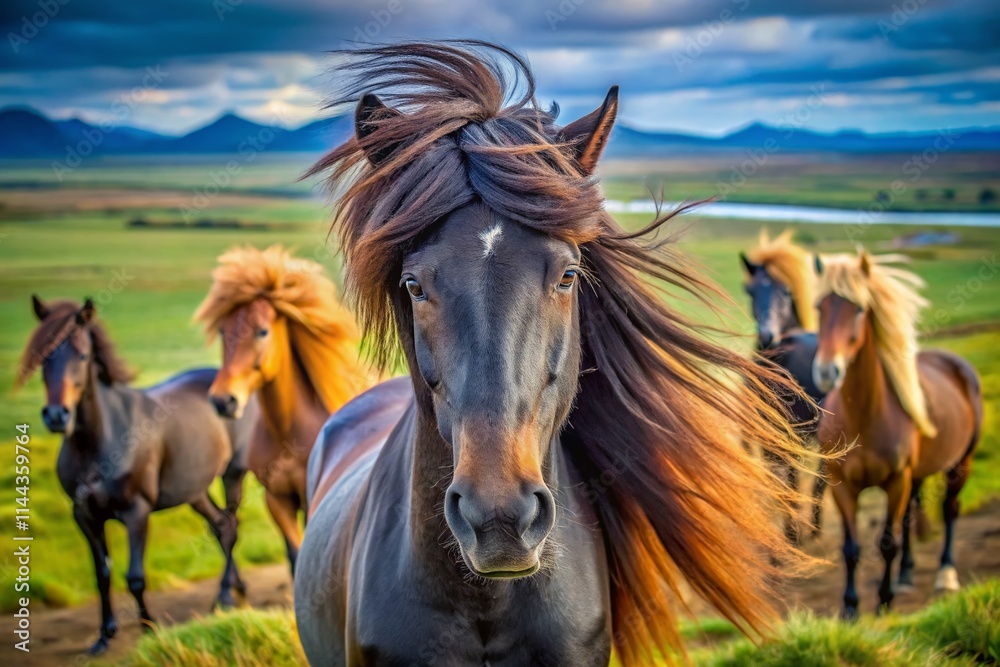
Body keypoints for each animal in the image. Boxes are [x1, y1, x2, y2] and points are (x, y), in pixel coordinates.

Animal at [17, 296, 257, 655]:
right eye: (45, 356)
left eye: (83, 355)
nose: (57, 415)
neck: (99, 441)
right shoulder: (84, 515)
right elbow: (102, 573)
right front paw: (104, 636)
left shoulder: (136, 512)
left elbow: (135, 577)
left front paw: (148, 629)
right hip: (195, 490)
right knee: (222, 526)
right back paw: (232, 592)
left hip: (233, 474)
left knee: (230, 525)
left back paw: (227, 596)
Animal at [194, 245, 372, 572]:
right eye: (223, 331)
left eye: (262, 331)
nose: (223, 400)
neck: (290, 434)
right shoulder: (278, 501)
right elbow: (294, 556)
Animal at [813, 250, 983, 619]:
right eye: (819, 306)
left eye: (858, 309)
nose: (827, 371)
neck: (863, 416)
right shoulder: (842, 484)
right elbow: (851, 547)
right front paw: (850, 608)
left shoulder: (895, 481)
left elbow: (887, 543)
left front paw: (883, 601)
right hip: (915, 476)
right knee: (908, 518)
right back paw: (906, 575)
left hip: (959, 464)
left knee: (950, 508)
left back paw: (945, 574)